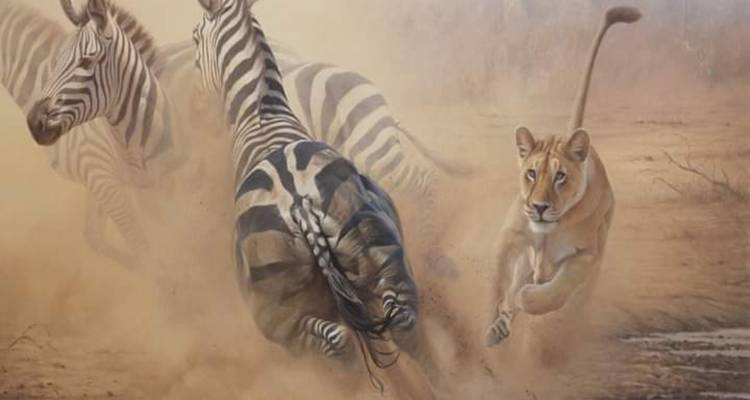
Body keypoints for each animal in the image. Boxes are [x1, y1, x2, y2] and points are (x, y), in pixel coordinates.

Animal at [0, 0, 175, 266]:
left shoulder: (102, 175)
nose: (34, 124)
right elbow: (95, 238)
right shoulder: (96, 178)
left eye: (86, 62)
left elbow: (141, 244)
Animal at [192, 0, 426, 385]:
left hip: (277, 319)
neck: (261, 114)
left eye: (196, 39)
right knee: (401, 323)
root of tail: (298, 203)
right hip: (384, 261)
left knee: (339, 348)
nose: (198, 106)